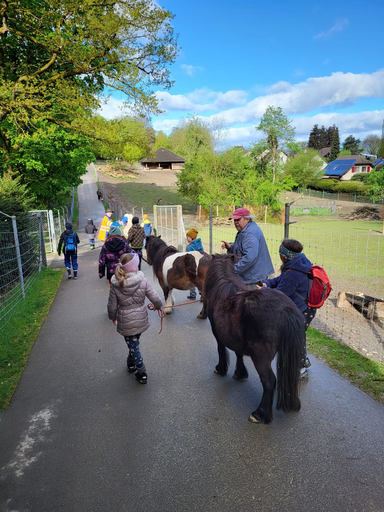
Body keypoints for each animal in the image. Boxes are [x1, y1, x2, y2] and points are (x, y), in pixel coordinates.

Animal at [204, 253, 304, 424]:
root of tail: (285, 309)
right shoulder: (234, 337)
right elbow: (238, 353)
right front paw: (240, 373)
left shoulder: (217, 334)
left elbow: (221, 350)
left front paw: (221, 368)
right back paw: (294, 404)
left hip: (260, 357)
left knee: (269, 381)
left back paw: (260, 413)